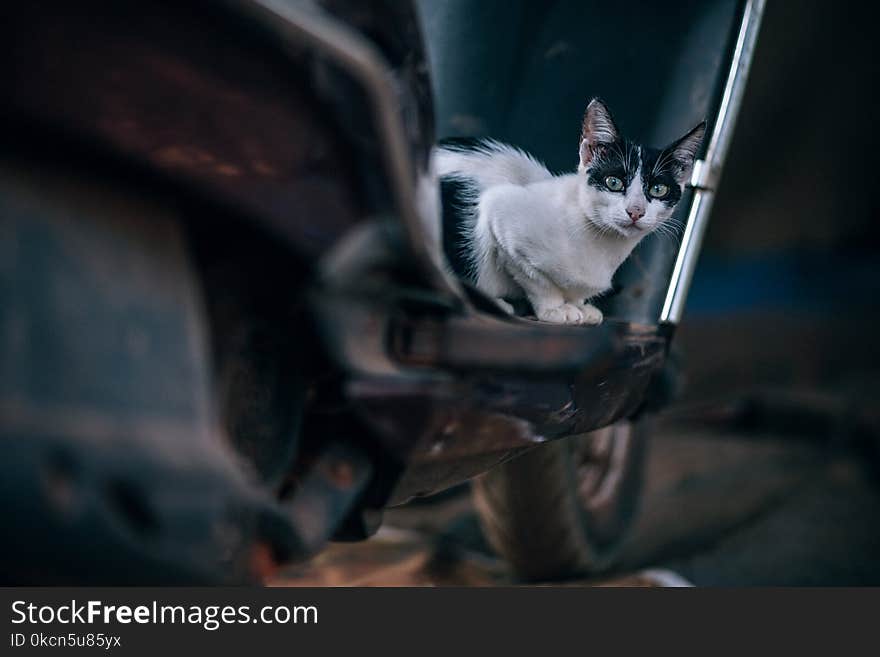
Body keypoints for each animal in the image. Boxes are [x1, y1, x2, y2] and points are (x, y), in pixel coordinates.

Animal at [436, 98, 704, 324]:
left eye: (658, 189)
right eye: (613, 182)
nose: (636, 211)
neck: (603, 247)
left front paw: (579, 305)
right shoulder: (500, 216)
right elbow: (537, 280)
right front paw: (556, 309)